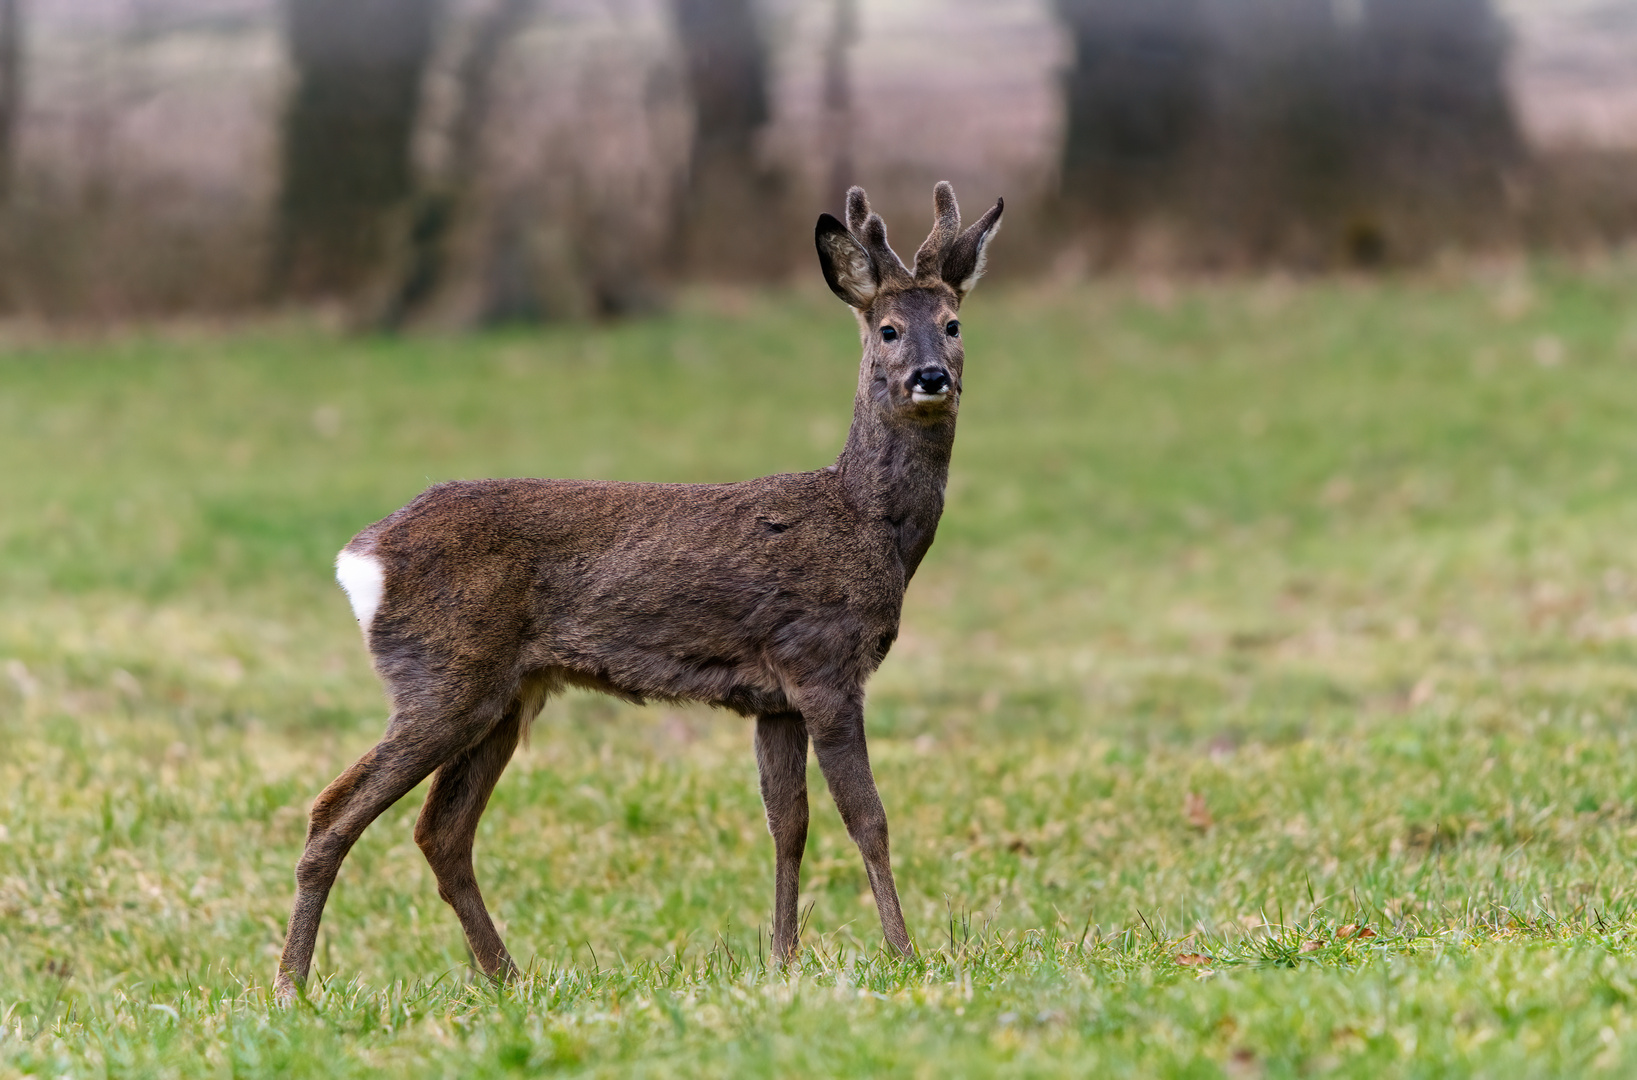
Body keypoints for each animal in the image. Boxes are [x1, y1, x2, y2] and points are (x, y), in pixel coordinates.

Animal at [271, 181, 995, 1001]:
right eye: (888, 330)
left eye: (953, 324)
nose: (931, 378)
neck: (870, 523)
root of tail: (362, 557)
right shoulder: (825, 662)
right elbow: (866, 818)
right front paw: (904, 956)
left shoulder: (774, 694)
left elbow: (788, 823)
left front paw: (782, 960)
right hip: (442, 677)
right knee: (334, 810)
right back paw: (291, 986)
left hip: (503, 694)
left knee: (441, 831)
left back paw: (509, 978)